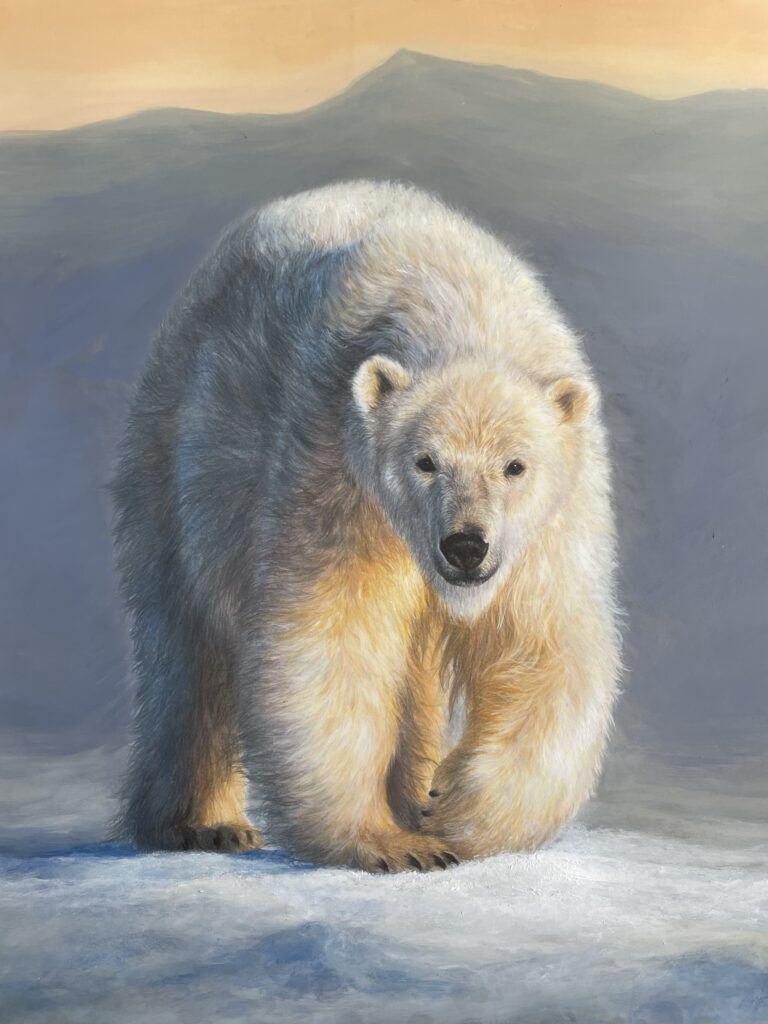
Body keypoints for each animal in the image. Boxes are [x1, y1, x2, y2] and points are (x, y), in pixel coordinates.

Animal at [111, 180, 620, 872]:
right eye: (424, 461)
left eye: (515, 465)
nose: (466, 546)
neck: (462, 311)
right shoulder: (333, 471)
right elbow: (330, 638)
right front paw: (391, 844)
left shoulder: (553, 526)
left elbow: (545, 649)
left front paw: (451, 806)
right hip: (178, 458)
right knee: (187, 649)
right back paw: (202, 823)